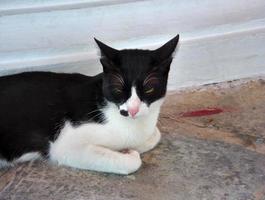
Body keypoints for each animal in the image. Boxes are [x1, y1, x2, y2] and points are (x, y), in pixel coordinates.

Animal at [0, 35, 179, 174]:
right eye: (118, 88)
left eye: (149, 88)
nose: (133, 110)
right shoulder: (66, 146)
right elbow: (132, 161)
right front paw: (130, 153)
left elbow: (155, 134)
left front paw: (127, 147)